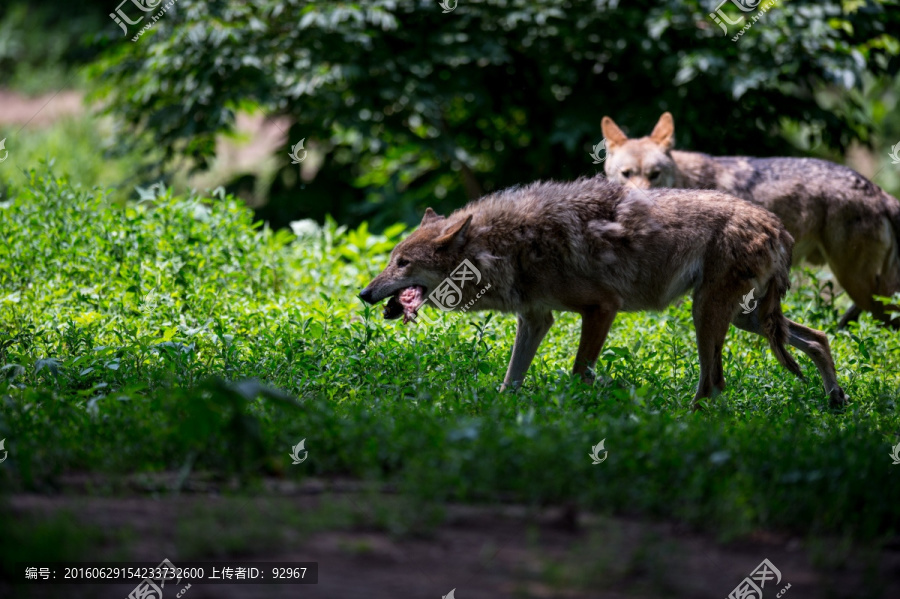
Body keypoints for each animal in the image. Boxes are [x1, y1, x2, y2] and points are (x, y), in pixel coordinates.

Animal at [356, 178, 848, 410]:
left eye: (402, 264)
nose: (363, 293)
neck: (505, 246)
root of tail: (778, 226)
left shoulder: (602, 308)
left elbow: (579, 372)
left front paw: (609, 398)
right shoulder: (537, 319)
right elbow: (510, 382)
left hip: (707, 313)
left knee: (712, 384)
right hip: (742, 316)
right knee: (818, 338)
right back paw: (836, 402)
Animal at [600, 112, 900, 328]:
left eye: (655, 174)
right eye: (627, 174)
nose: (643, 199)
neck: (687, 179)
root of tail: (880, 192)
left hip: (857, 284)